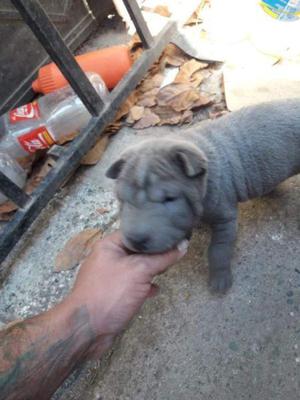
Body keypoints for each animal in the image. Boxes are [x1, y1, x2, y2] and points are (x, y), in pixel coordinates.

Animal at [106, 100, 300, 294]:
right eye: (123, 199)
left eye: (169, 198)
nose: (136, 240)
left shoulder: (225, 218)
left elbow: (218, 250)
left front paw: (220, 280)